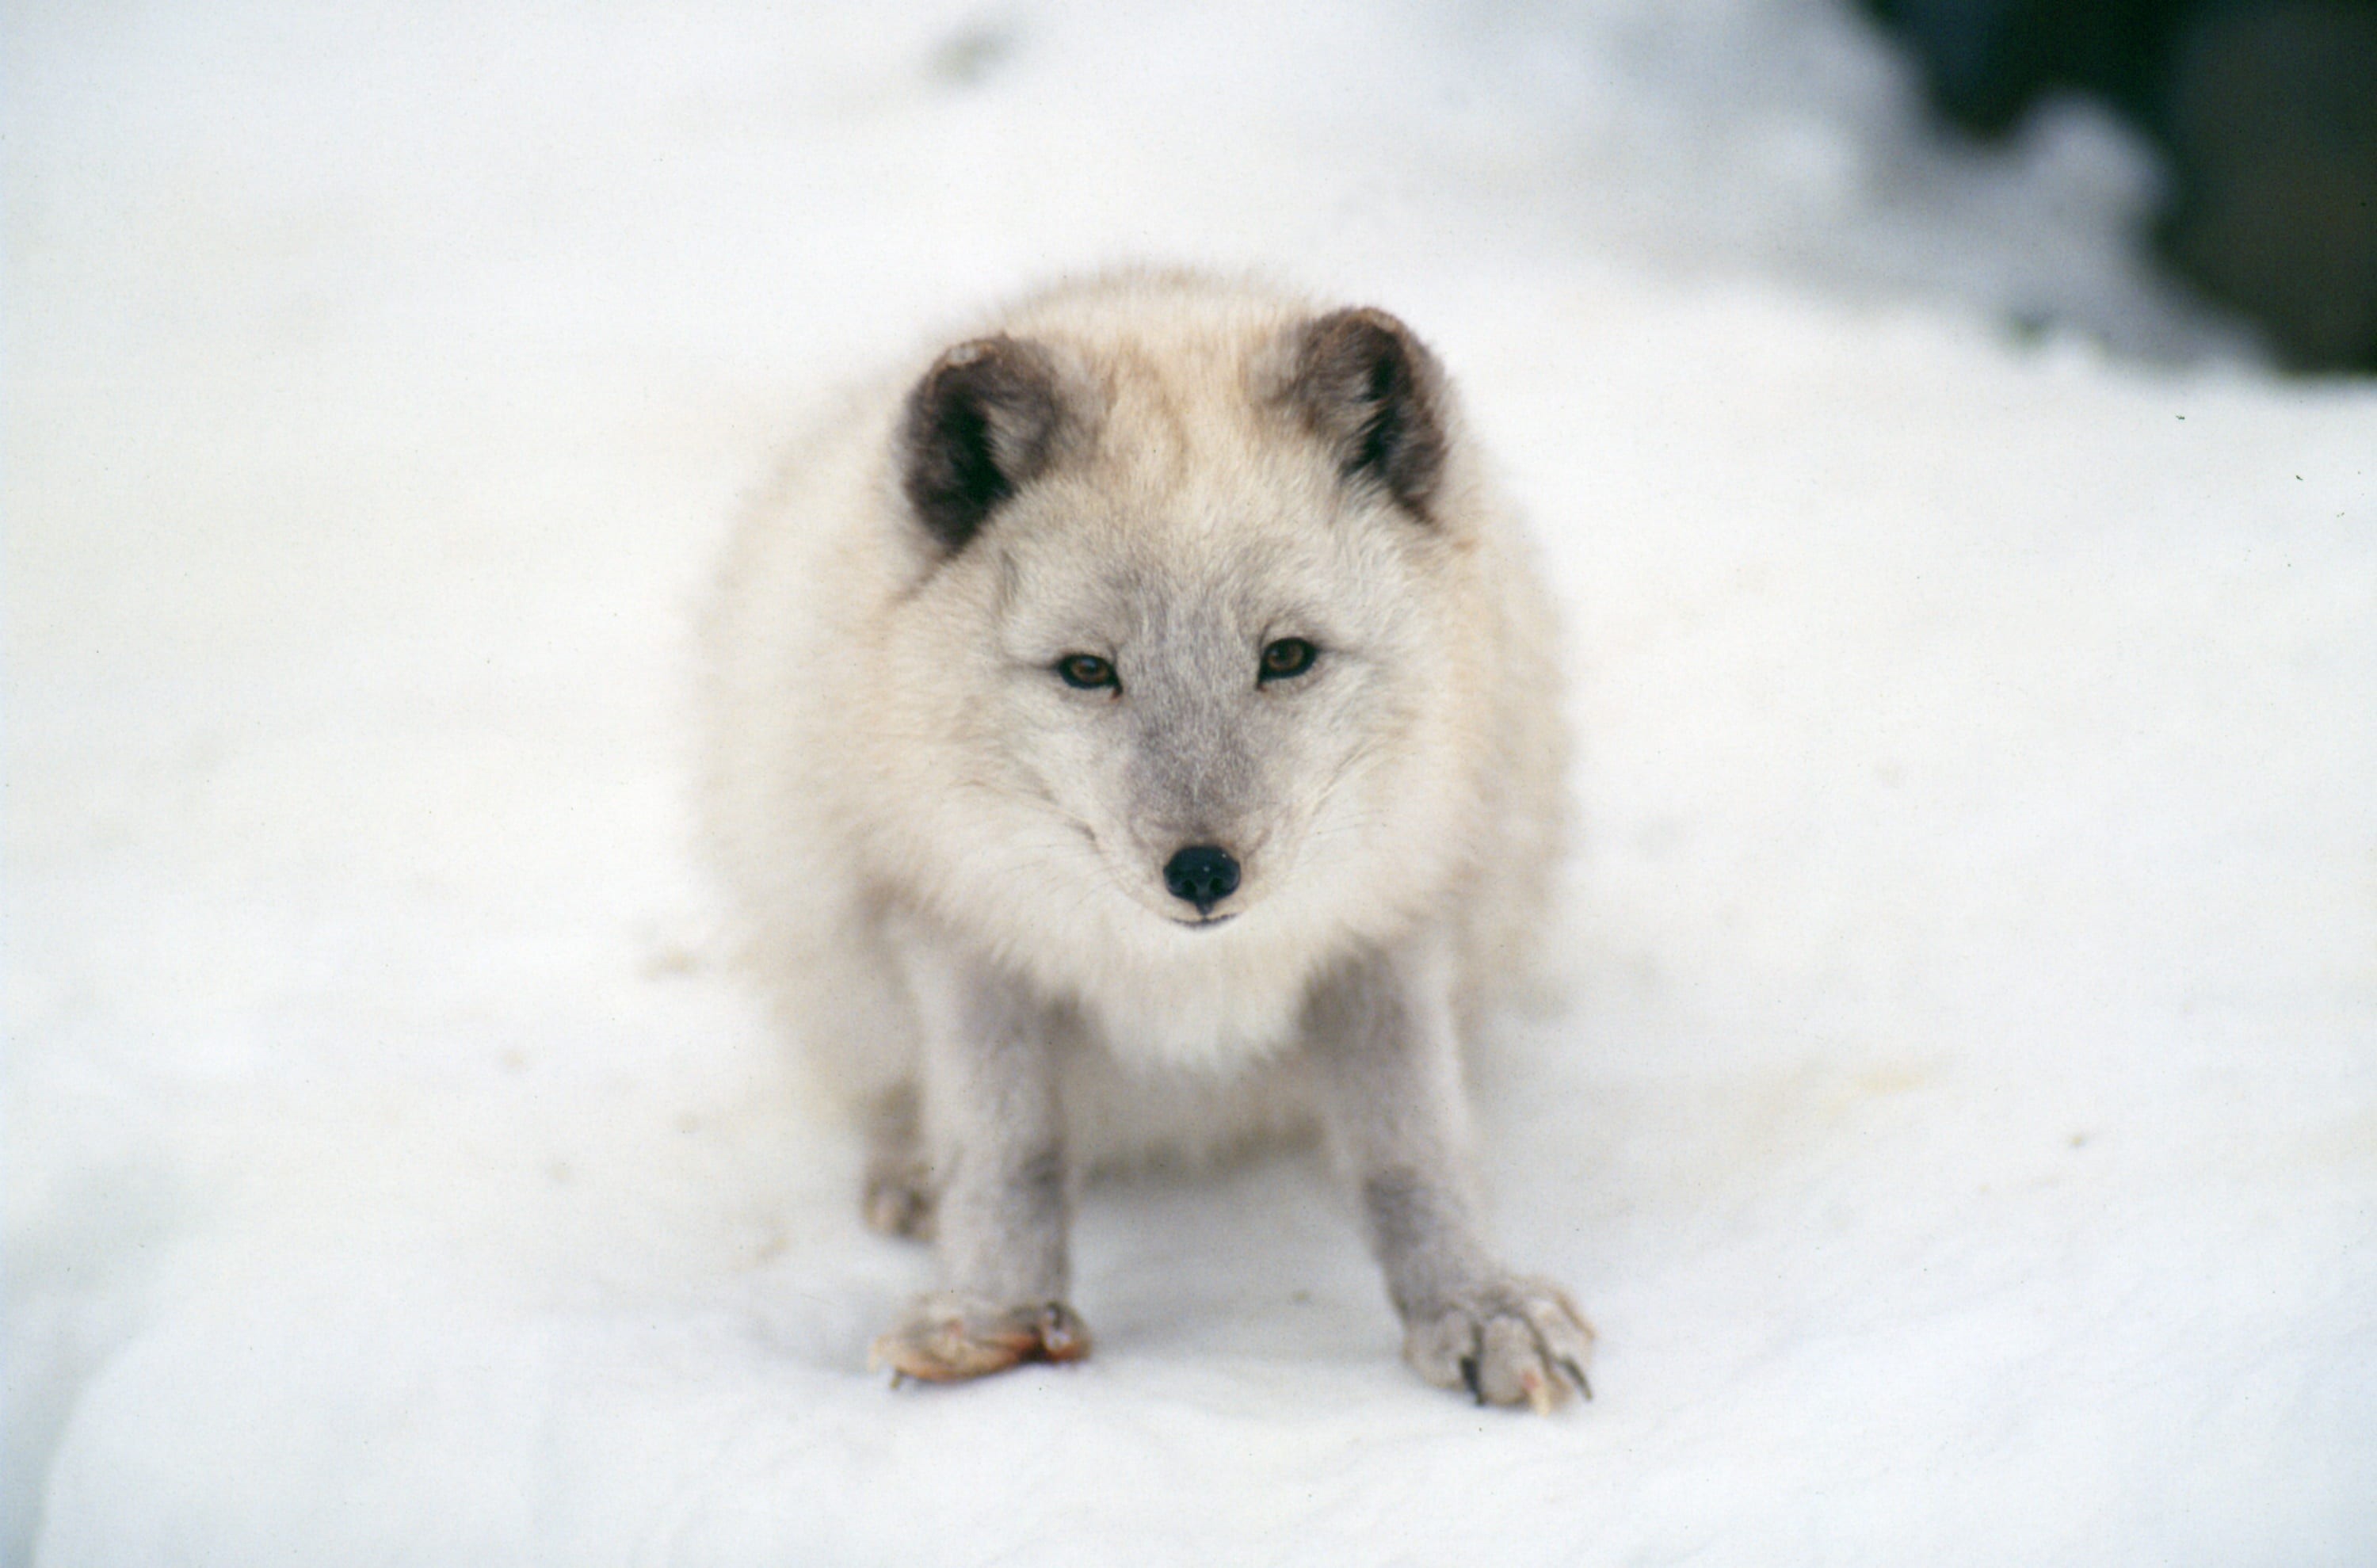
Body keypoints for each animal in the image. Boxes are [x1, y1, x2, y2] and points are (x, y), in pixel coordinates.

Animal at [699, 270, 1590, 1410]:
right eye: (1087, 670)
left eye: (1287, 655)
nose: (1204, 870)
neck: (1183, 974)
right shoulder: (959, 934)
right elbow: (1007, 1151)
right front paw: (989, 1315)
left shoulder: (1388, 933)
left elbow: (1413, 1151)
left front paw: (1474, 1306)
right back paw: (910, 1171)